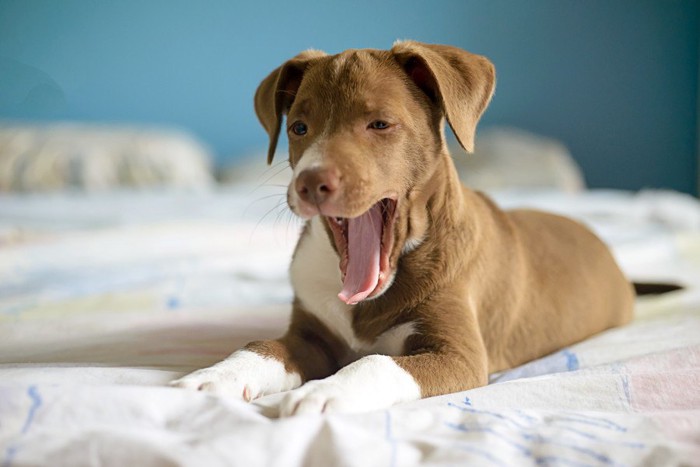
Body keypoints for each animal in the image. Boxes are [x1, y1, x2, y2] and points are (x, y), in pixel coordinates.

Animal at [170, 41, 636, 416]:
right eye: (299, 128)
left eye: (379, 124)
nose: (310, 182)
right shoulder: (309, 336)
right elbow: (261, 347)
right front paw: (217, 375)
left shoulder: (459, 355)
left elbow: (376, 362)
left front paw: (324, 391)